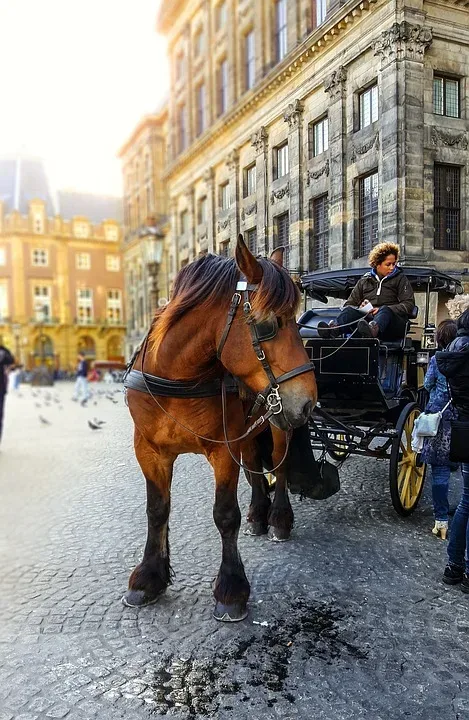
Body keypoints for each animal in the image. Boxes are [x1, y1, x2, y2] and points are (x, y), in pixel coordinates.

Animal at [122, 235, 316, 620]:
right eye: (270, 324)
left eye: (297, 320)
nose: (307, 401)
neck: (177, 377)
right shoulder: (148, 450)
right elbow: (157, 509)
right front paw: (149, 576)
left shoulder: (222, 450)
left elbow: (225, 515)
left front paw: (231, 588)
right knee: (255, 467)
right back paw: (258, 514)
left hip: (277, 425)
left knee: (281, 468)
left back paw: (278, 518)